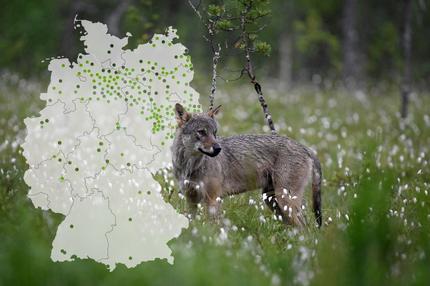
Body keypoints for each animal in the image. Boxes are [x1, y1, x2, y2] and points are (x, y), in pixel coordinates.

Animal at [170, 103, 320, 228]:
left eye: (214, 133)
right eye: (201, 132)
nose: (218, 149)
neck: (190, 166)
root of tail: (306, 148)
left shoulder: (213, 200)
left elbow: (212, 228)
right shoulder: (191, 200)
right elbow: (192, 225)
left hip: (284, 202)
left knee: (306, 229)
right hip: (274, 203)